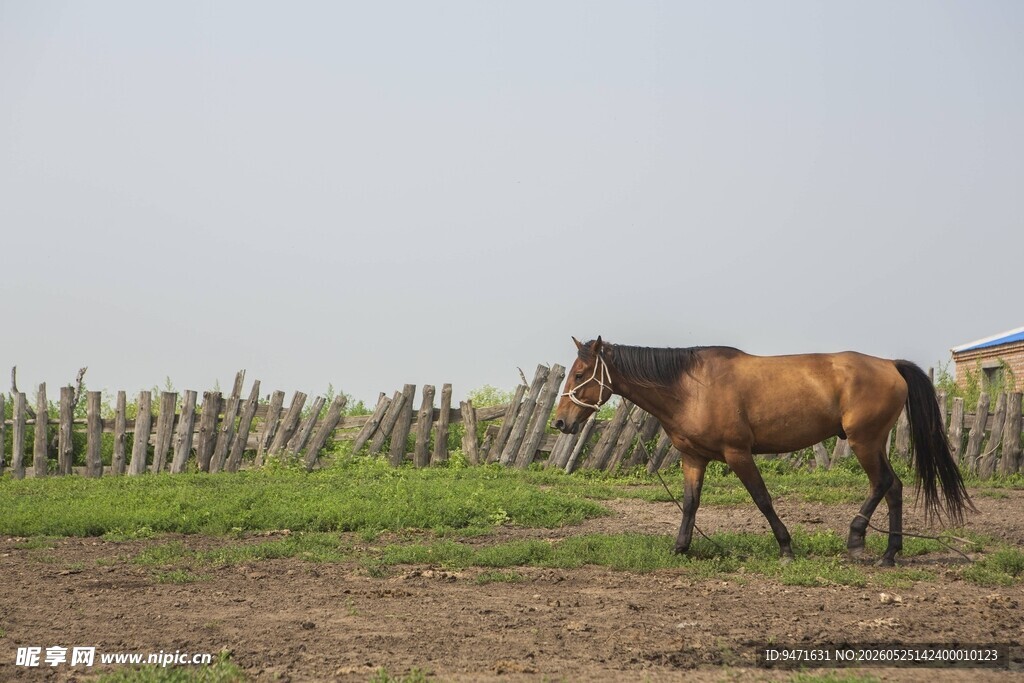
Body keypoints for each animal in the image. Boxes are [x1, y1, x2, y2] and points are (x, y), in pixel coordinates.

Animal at [551, 336, 974, 566]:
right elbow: (690, 503)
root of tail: (890, 365)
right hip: (871, 443)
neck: (690, 387)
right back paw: (889, 553)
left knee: (883, 483)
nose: (559, 422)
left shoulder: (738, 453)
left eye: (579, 374)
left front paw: (785, 546)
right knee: (895, 487)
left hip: (863, 442)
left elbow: (762, 498)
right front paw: (681, 547)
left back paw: (858, 541)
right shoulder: (693, 458)